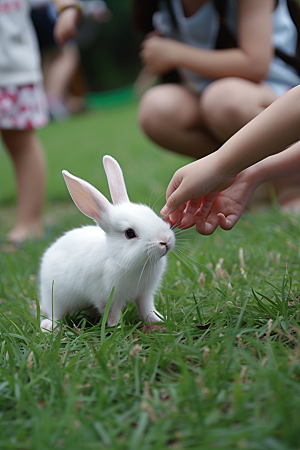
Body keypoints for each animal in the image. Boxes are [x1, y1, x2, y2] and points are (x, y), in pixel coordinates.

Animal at [39, 155, 176, 330]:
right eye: (129, 233)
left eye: (152, 213)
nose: (165, 241)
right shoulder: (107, 298)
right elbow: (112, 314)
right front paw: (117, 328)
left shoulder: (144, 293)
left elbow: (147, 309)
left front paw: (158, 320)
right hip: (55, 297)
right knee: (55, 314)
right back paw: (49, 327)